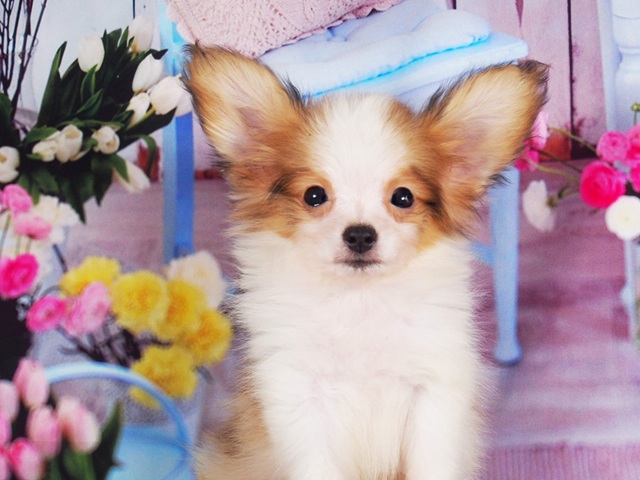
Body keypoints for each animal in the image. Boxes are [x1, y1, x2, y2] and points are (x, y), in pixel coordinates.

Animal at [184, 46, 547, 480]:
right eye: (314, 195)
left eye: (403, 197)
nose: (360, 234)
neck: (358, 302)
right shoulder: (297, 397)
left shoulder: (433, 394)